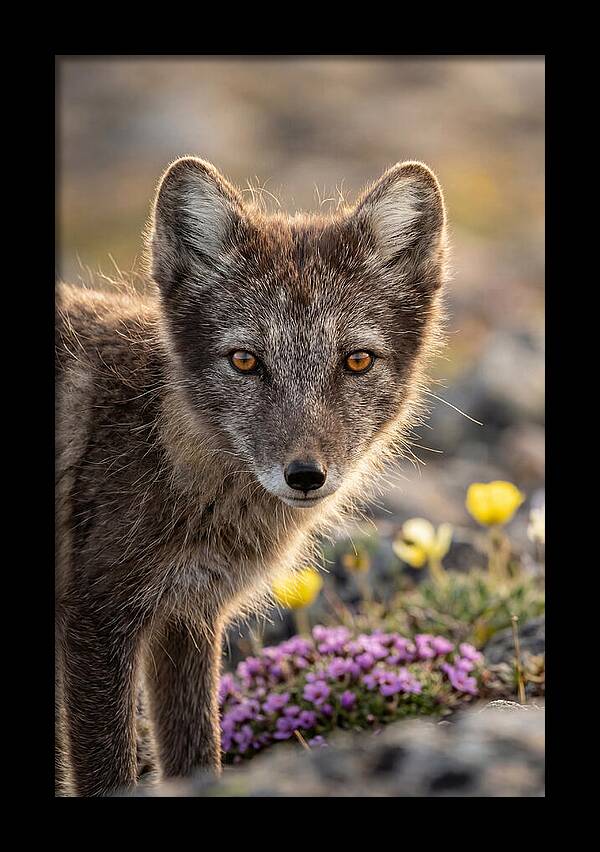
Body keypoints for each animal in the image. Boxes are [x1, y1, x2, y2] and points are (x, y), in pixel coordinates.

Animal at [55, 156, 448, 797]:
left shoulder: (188, 617)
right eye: (245, 360)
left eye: (356, 360)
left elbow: (197, 755)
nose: (305, 476)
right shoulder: (97, 618)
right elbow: (108, 771)